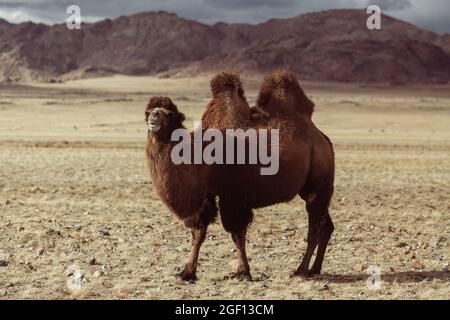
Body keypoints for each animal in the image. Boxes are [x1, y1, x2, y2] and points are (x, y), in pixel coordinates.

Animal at [146, 71, 336, 282]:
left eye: (169, 113)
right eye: (149, 111)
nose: (154, 116)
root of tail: (323, 139)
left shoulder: (234, 195)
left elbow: (237, 234)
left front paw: (242, 271)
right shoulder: (207, 196)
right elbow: (198, 233)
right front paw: (187, 272)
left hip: (318, 183)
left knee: (314, 227)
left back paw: (301, 269)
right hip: (312, 189)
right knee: (326, 225)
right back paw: (315, 269)